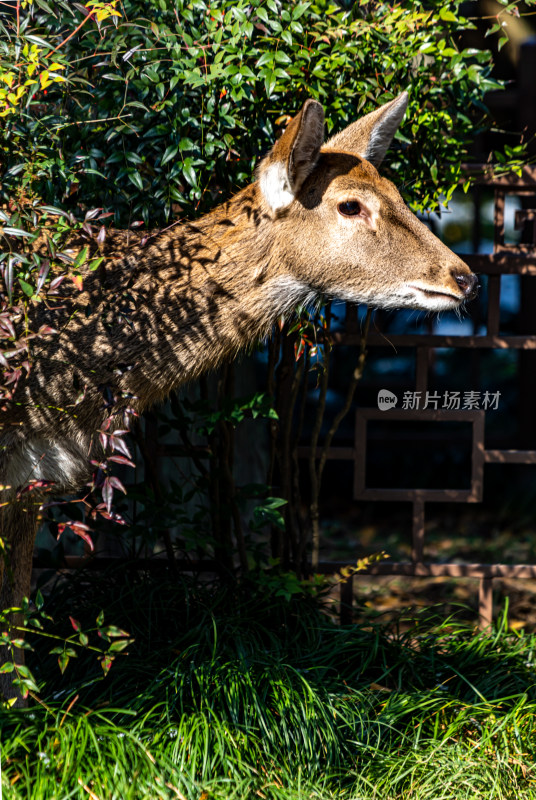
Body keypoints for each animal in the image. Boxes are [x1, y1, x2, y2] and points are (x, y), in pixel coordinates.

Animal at [0, 94, 478, 704]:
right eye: (350, 206)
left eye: (398, 192)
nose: (465, 278)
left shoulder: (30, 476)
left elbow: (14, 612)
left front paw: (23, 705)